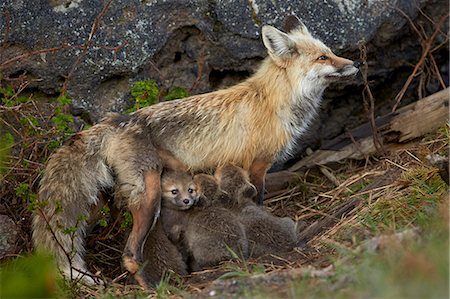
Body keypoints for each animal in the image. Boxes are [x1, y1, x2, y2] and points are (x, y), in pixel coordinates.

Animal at [32, 15, 358, 288]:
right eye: (323, 57)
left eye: (330, 51)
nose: (354, 63)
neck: (272, 100)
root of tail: (114, 121)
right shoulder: (256, 166)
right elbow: (257, 206)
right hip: (149, 196)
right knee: (129, 254)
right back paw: (152, 286)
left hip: (105, 200)